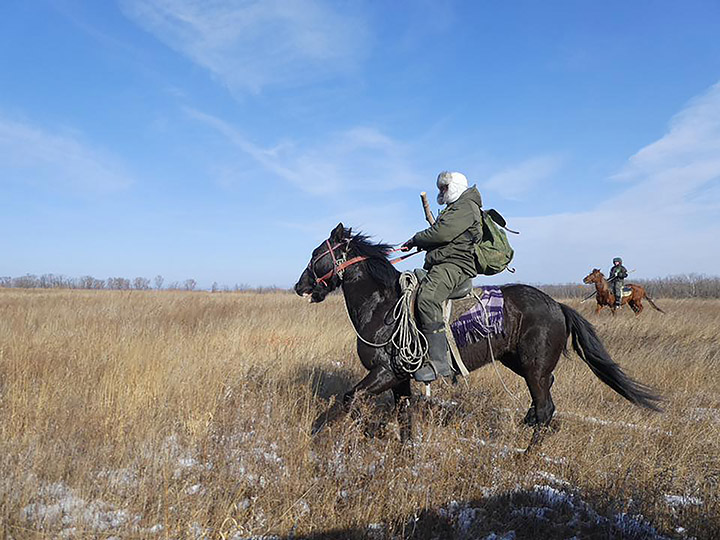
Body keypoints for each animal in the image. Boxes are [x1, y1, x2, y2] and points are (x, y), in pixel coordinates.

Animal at [294, 224, 664, 438]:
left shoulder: (386, 372)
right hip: (520, 362)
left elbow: (349, 398)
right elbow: (404, 419)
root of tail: (557, 305)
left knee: (545, 407)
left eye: (316, 254)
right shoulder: (398, 379)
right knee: (546, 400)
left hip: (532, 366)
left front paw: (346, 429)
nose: (300, 286)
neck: (382, 306)